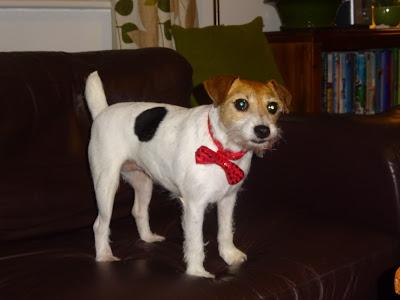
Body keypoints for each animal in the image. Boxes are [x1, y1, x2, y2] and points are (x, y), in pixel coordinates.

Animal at [84, 71, 290, 278]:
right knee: (99, 225)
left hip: (144, 182)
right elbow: (195, 243)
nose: (263, 130)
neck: (220, 150)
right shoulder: (194, 206)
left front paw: (229, 255)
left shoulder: (228, 199)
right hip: (106, 186)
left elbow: (225, 231)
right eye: (241, 104)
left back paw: (148, 238)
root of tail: (102, 112)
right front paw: (197, 272)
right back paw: (104, 255)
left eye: (273, 107)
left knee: (138, 211)